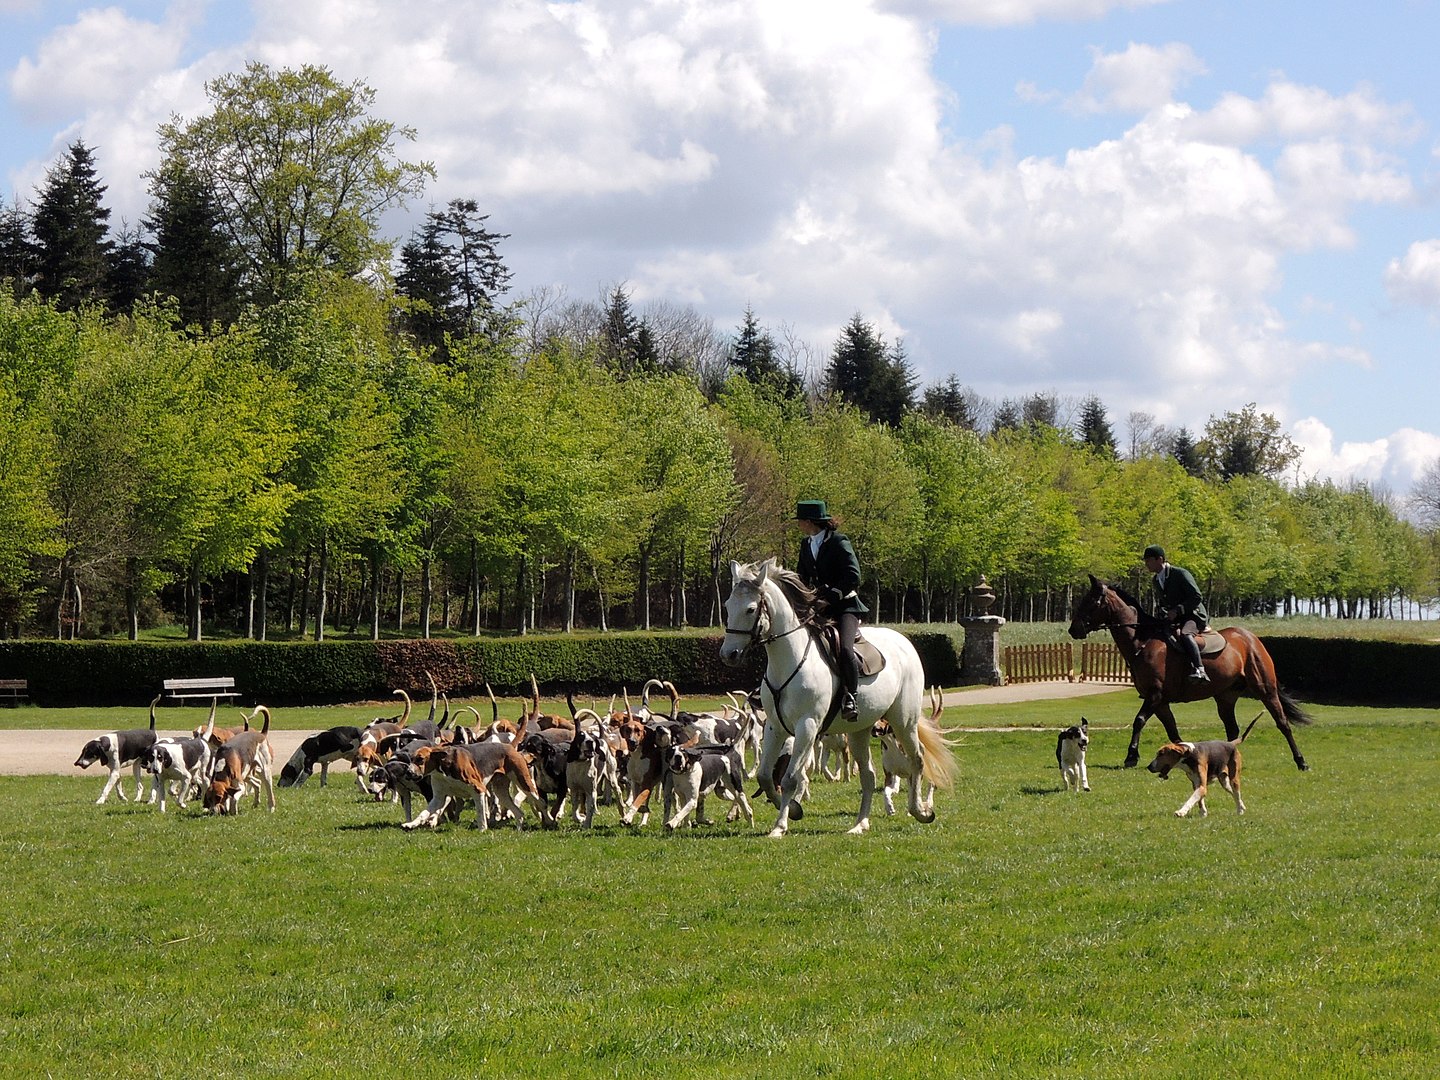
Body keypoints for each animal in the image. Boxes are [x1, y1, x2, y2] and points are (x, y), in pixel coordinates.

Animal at [720, 558, 956, 835]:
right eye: (727, 606)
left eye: (750, 609)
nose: (728, 655)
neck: (788, 660)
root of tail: (903, 641)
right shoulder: (775, 727)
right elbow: (766, 776)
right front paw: (794, 810)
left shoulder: (808, 725)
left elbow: (790, 779)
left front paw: (780, 826)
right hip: (860, 731)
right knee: (869, 775)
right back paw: (860, 824)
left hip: (903, 720)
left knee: (917, 758)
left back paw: (919, 811)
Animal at [1065, 578, 1313, 771]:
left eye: (1091, 601)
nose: (1073, 629)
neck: (1143, 641)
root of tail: (1251, 638)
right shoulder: (1160, 702)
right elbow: (1173, 731)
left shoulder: (1154, 696)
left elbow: (1139, 721)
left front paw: (1131, 757)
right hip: (1225, 697)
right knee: (1232, 729)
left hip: (1265, 689)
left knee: (1282, 723)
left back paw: (1301, 762)